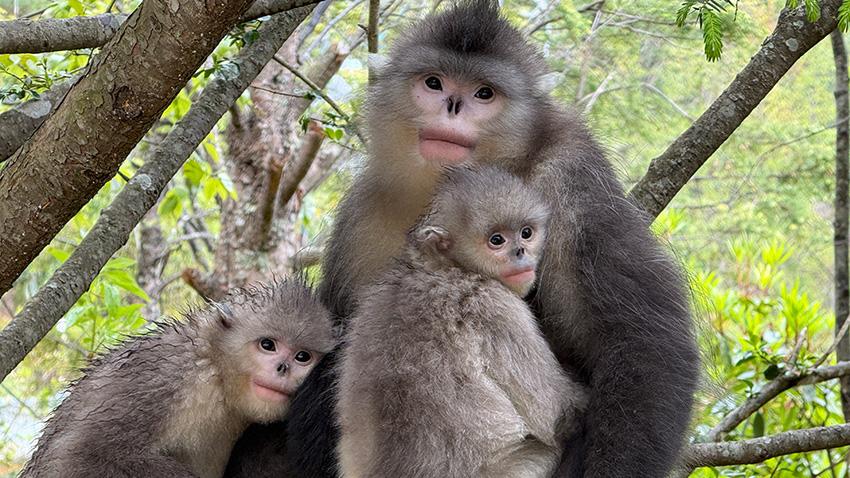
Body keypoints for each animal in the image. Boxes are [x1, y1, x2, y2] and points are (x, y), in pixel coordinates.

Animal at [21, 279, 335, 478]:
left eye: (302, 357)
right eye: (268, 345)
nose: (283, 368)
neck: (218, 374)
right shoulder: (161, 379)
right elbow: (76, 457)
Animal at [336, 166, 587, 478]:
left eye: (526, 233)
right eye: (497, 240)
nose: (520, 253)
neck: (443, 268)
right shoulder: (496, 306)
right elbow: (559, 415)